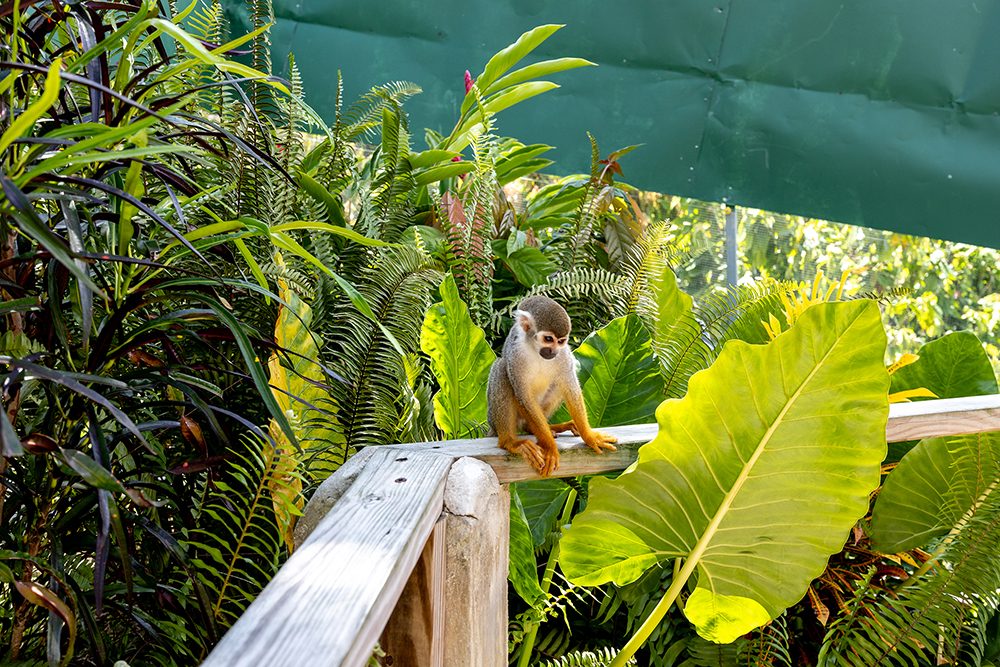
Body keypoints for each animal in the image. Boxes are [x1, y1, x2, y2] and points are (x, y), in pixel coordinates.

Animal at [487, 296, 618, 476]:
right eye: (548, 339)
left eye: (561, 341)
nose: (553, 352)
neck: (535, 350)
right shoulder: (516, 354)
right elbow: (524, 395)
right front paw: (550, 447)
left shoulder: (564, 354)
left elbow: (570, 388)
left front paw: (589, 436)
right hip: (494, 417)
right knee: (501, 368)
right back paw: (510, 441)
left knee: (558, 382)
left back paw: (547, 428)